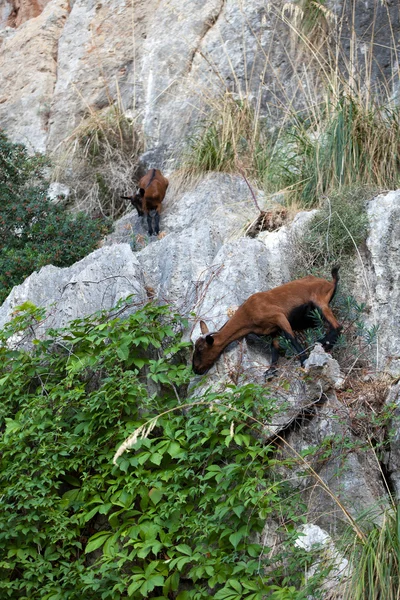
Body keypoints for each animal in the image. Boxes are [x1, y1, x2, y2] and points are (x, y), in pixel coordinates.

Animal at [192, 266, 342, 376]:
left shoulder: (279, 317)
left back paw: (322, 342)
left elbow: (291, 338)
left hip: (320, 303)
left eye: (200, 349)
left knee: (337, 327)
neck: (247, 314)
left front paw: (304, 361)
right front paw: (270, 371)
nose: (195, 369)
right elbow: (274, 348)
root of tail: (330, 283)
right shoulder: (274, 331)